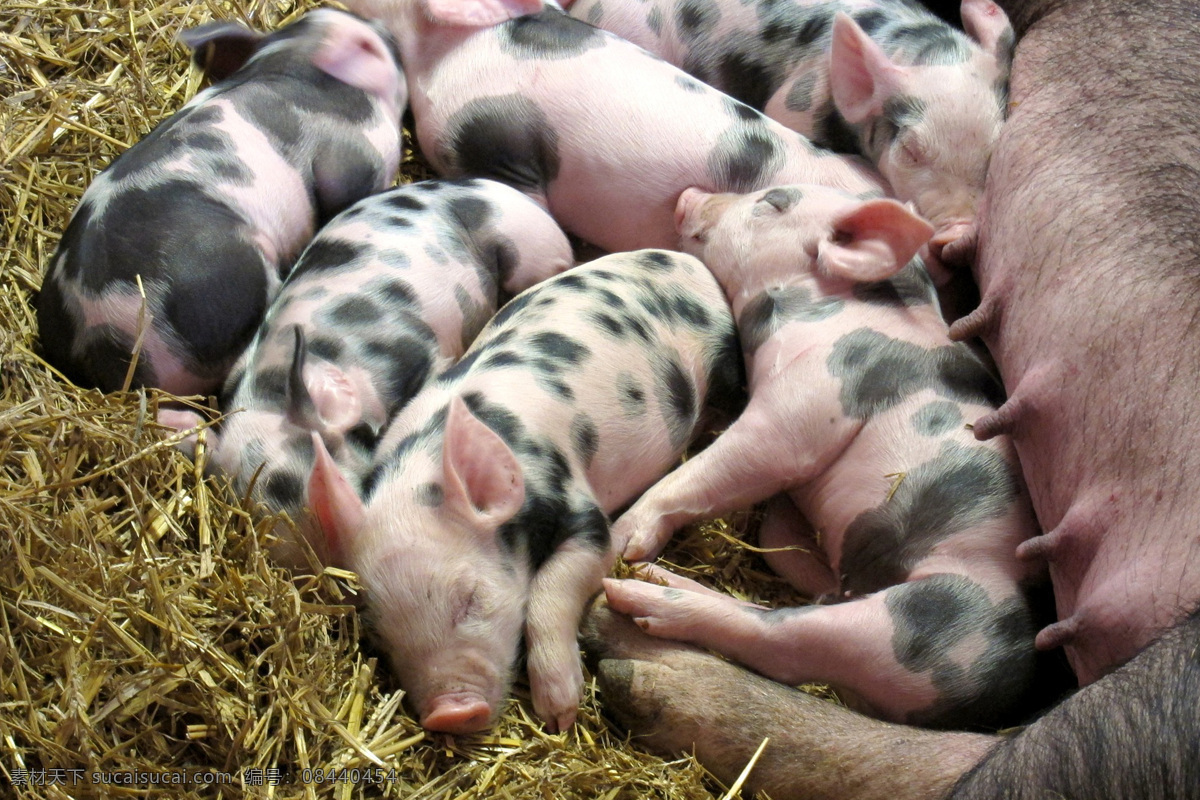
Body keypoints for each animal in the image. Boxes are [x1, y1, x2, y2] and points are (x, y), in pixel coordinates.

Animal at [306, 249, 742, 733]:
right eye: (380, 633)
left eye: (471, 598)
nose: (451, 713)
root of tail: (686, 259)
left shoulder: (581, 509)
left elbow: (552, 588)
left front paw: (559, 713)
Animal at [604, 183, 1041, 727]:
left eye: (773, 202)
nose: (689, 193)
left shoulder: (813, 397)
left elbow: (734, 463)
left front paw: (621, 538)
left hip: (927, 626)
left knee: (784, 640)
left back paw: (636, 586)